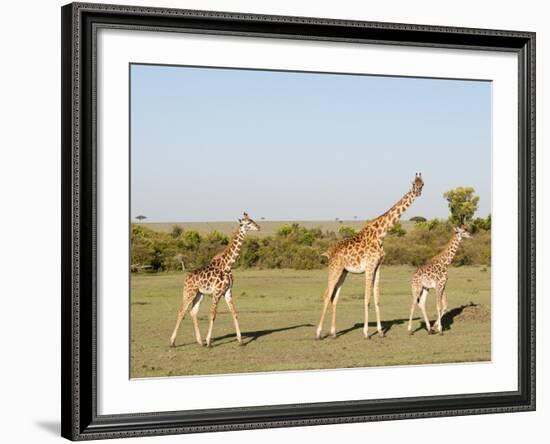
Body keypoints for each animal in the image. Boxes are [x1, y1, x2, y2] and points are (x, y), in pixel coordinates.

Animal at [169, 213, 262, 348]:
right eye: (248, 223)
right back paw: (172, 342)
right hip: (189, 292)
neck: (227, 265)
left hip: (199, 294)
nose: (259, 227)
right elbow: (212, 315)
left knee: (193, 311)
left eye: (252, 220)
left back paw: (199, 341)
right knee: (182, 311)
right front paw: (209, 341)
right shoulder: (217, 292)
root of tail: (186, 278)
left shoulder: (228, 292)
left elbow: (234, 313)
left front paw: (240, 340)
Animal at [316, 173, 424, 340]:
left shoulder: (378, 267)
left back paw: (333, 333)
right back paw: (319, 333)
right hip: (334, 269)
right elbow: (366, 299)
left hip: (343, 272)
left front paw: (380, 331)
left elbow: (377, 298)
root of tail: (328, 252)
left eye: (422, 184)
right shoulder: (369, 267)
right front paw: (366, 332)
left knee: (335, 298)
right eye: (413, 183)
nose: (418, 192)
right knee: (327, 295)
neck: (381, 234)